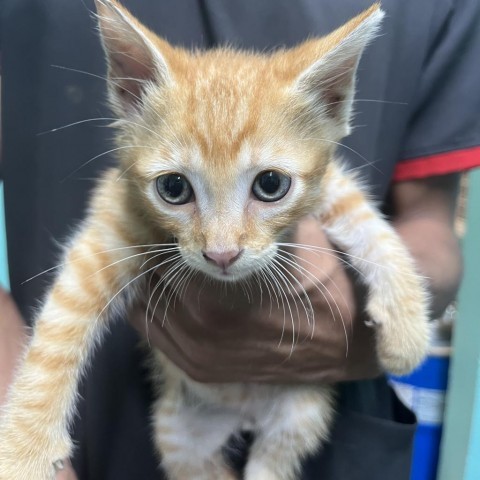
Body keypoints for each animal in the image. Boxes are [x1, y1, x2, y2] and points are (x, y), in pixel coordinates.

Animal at [0, 1, 428, 478]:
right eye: (173, 188)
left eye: (271, 184)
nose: (222, 254)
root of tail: (242, 414)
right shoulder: (114, 219)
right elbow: (61, 324)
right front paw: (24, 447)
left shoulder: (331, 184)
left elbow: (370, 225)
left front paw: (408, 329)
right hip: (179, 433)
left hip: (300, 413)